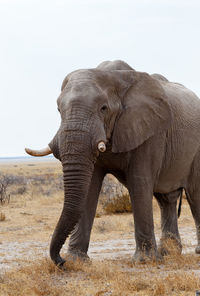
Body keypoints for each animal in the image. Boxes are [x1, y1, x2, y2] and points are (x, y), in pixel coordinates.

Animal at [25, 59, 200, 266]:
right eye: (59, 110)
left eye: (103, 108)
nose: (61, 261)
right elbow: (90, 187)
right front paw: (77, 261)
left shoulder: (149, 131)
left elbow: (139, 182)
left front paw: (144, 261)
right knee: (166, 199)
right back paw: (168, 253)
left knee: (195, 195)